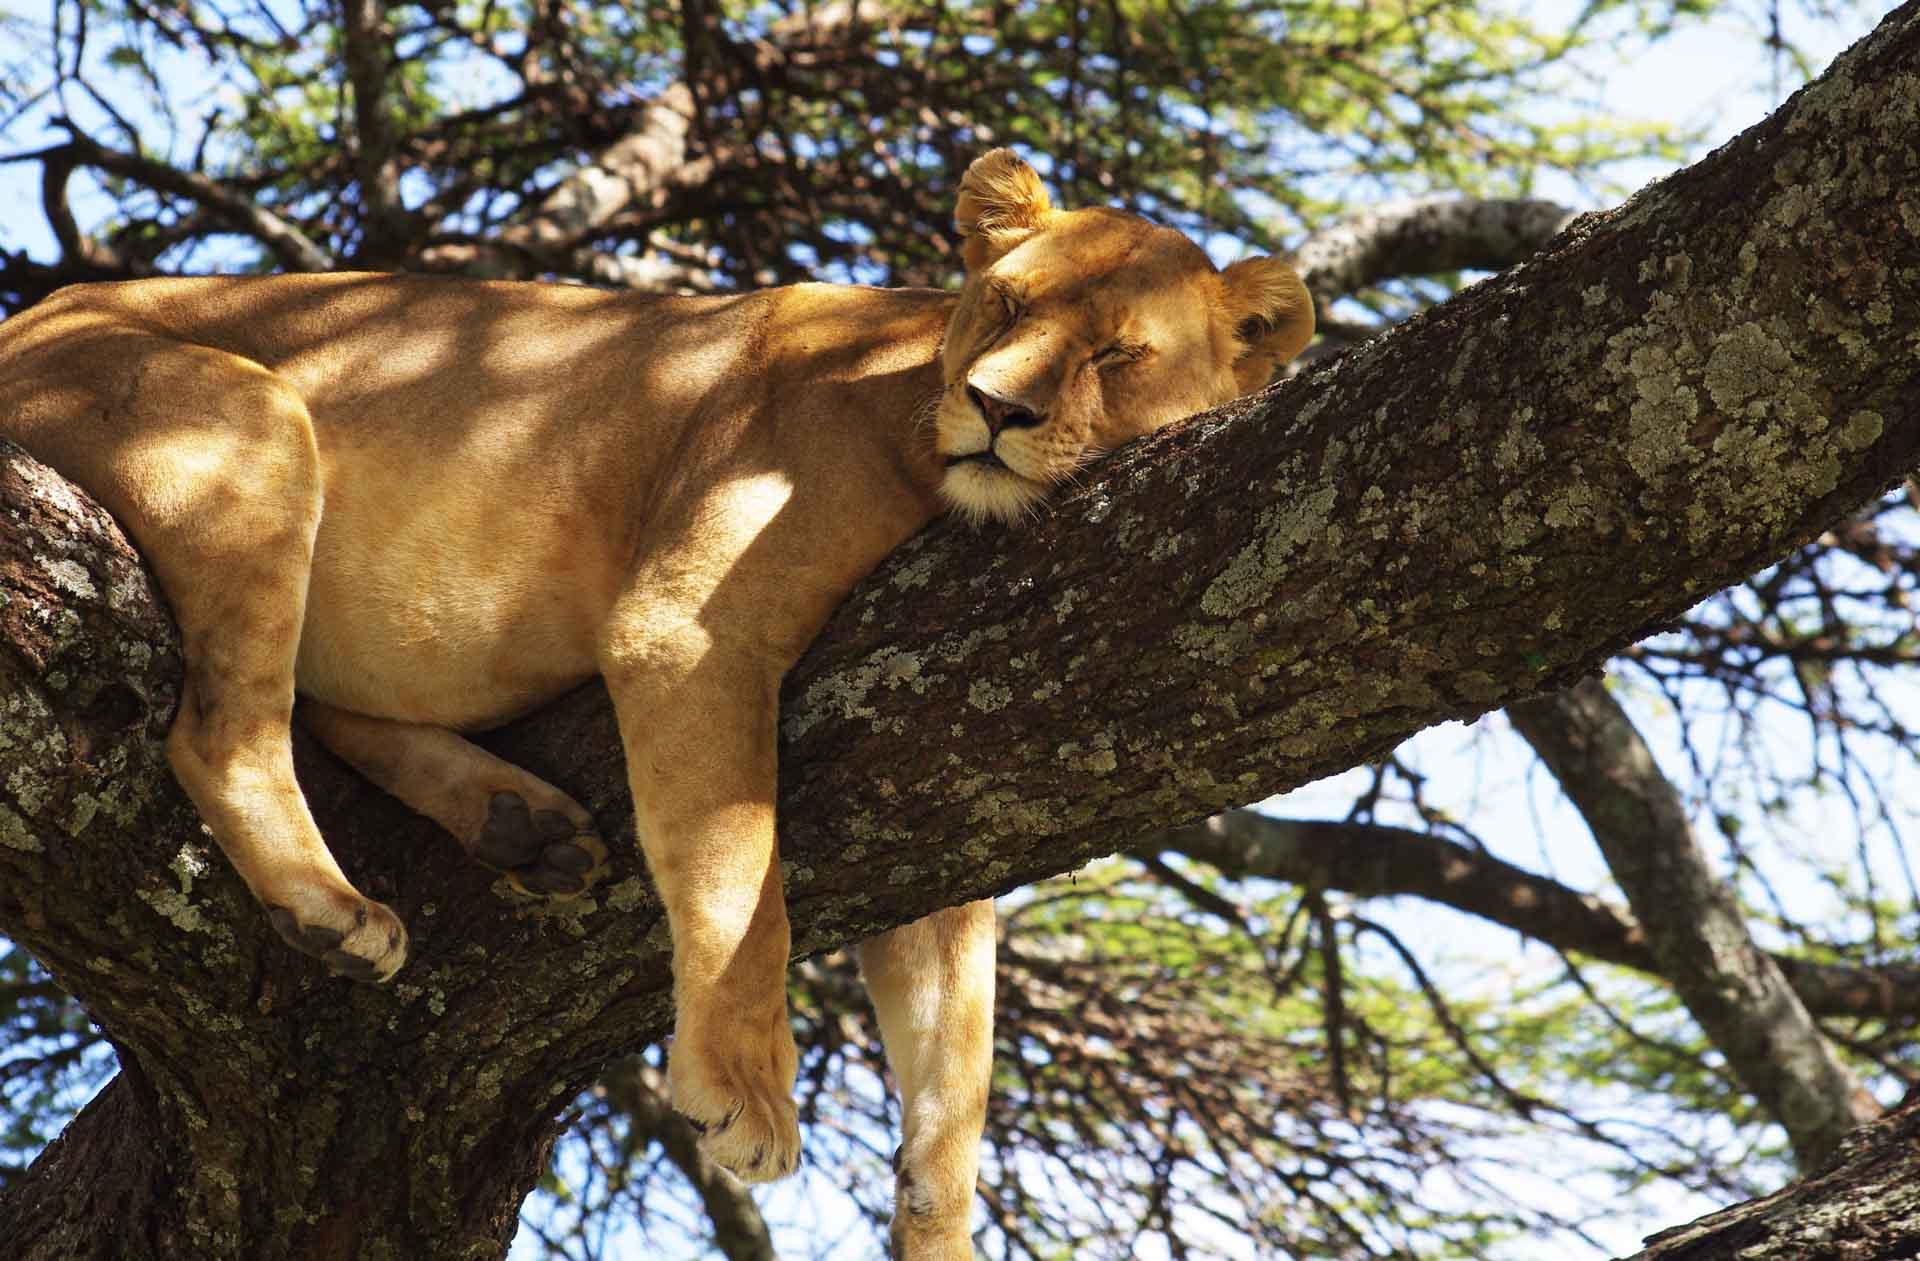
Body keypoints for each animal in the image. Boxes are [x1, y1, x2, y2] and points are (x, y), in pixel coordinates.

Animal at [0, 152, 1305, 1251]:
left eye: (1117, 356)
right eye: (1008, 309)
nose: (996, 410)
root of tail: (29, 314)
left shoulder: (945, 767)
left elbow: (959, 1047)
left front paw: (936, 1226)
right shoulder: (686, 628)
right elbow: (740, 873)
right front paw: (742, 1087)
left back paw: (519, 824)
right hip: (249, 414)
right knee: (221, 727)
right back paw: (334, 905)